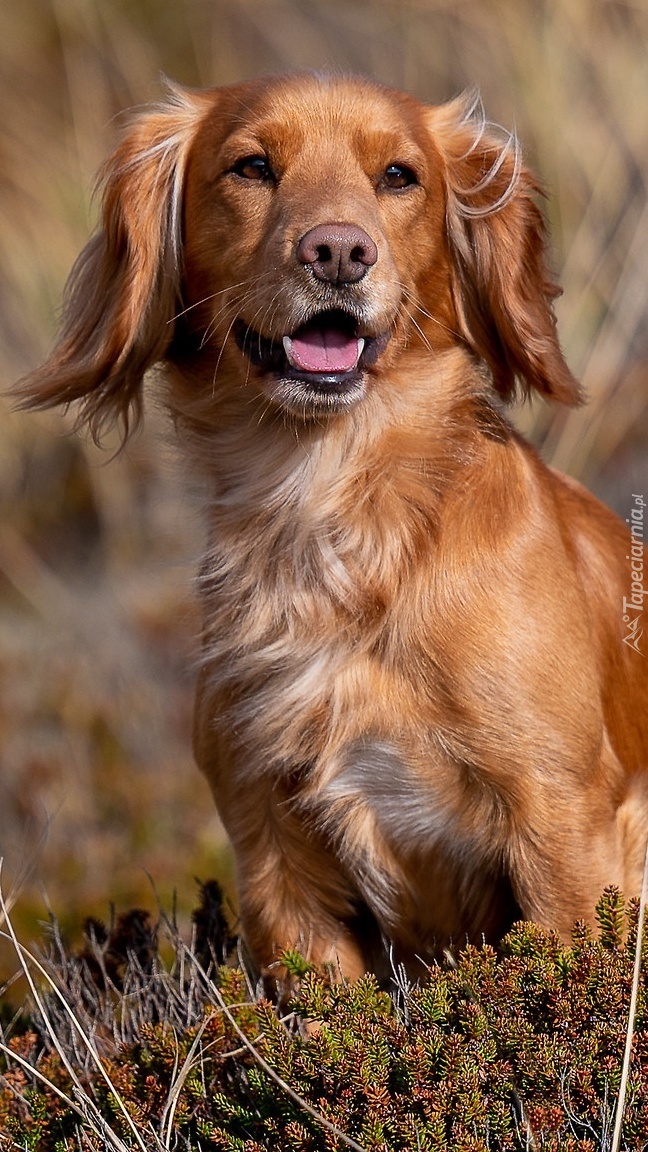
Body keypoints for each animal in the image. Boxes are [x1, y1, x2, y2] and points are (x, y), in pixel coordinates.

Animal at [17, 72, 641, 986]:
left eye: (399, 176)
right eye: (251, 167)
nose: (339, 252)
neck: (329, 511)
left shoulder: (562, 819)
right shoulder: (272, 850)